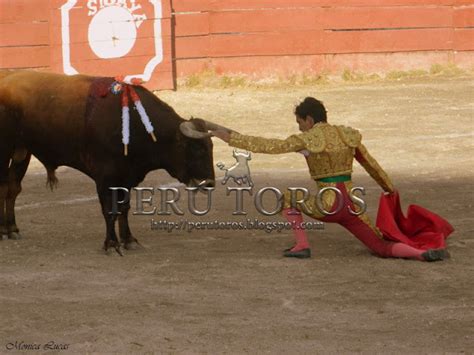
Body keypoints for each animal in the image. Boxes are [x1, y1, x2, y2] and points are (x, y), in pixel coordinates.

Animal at [0, 71, 230, 254]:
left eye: (210, 148)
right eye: (196, 148)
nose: (209, 183)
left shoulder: (127, 177)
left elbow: (123, 207)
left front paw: (129, 240)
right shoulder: (105, 177)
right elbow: (109, 209)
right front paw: (111, 244)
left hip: (22, 152)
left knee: (12, 188)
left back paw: (11, 229)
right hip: (5, 149)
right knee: (5, 188)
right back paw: (5, 230)